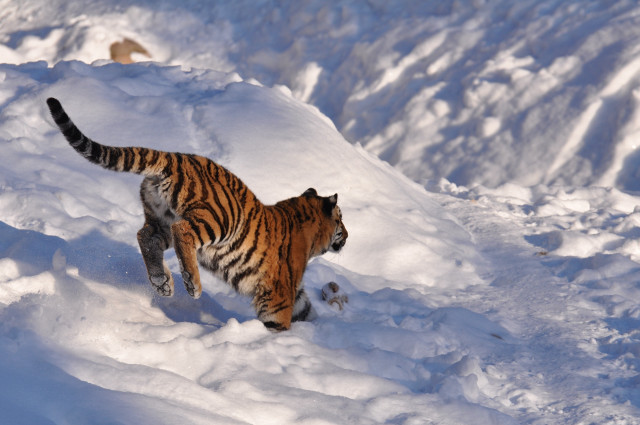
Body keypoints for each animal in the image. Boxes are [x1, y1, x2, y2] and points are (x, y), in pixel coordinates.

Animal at [46, 97, 348, 331]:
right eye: (341, 220)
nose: (346, 236)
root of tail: (176, 157)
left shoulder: (295, 293)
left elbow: (306, 309)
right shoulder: (279, 294)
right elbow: (280, 320)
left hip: (160, 217)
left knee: (145, 236)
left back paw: (162, 283)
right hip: (220, 219)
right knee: (183, 232)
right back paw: (192, 284)